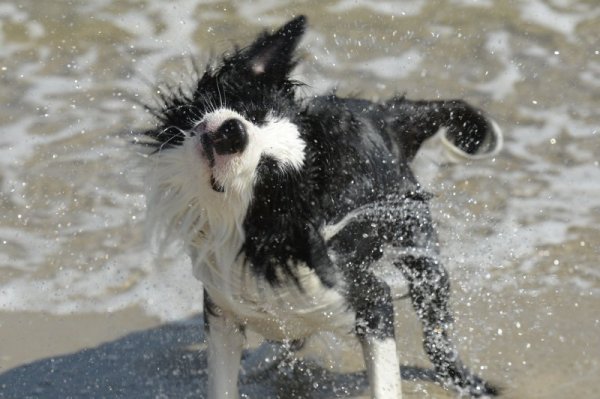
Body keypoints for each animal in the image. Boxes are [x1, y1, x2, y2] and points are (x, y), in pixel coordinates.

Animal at [138, 14, 500, 396]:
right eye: (256, 113)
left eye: (269, 171)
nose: (234, 132)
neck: (259, 248)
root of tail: (387, 116)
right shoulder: (221, 310)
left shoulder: (368, 299)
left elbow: (385, 377)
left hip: (418, 244)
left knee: (436, 332)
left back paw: (466, 381)